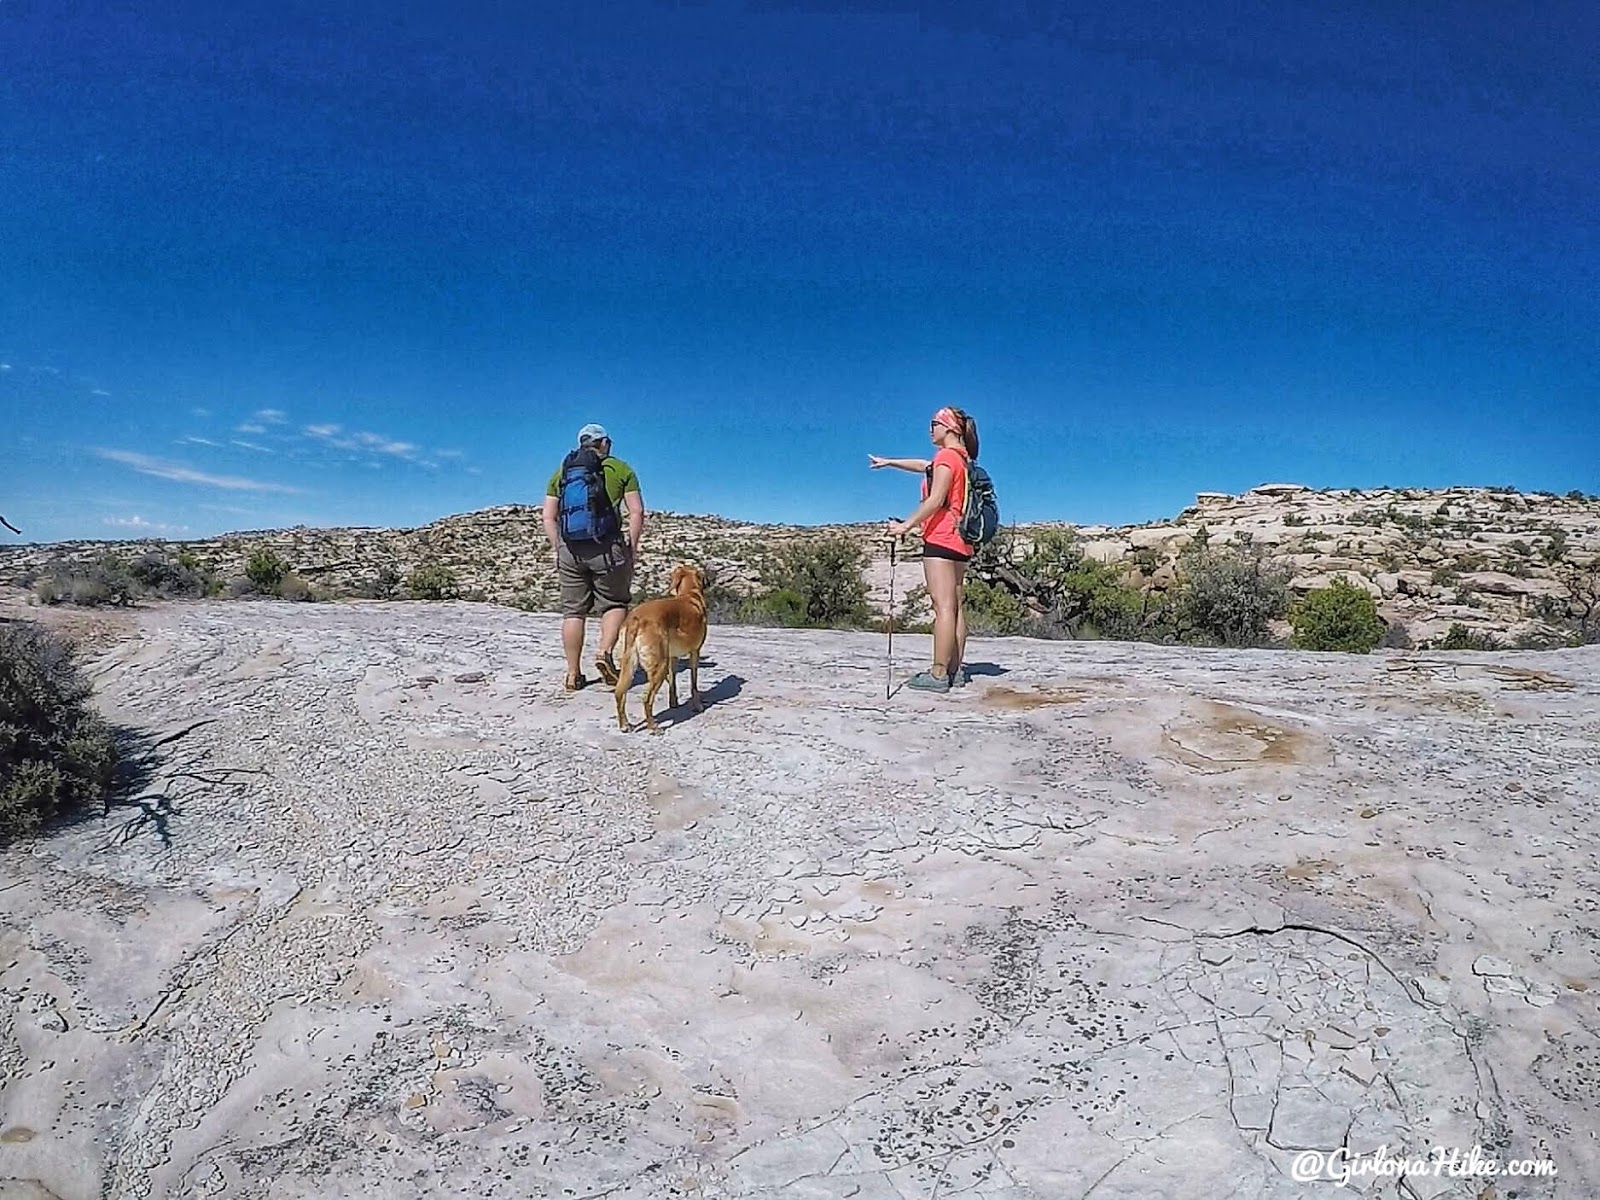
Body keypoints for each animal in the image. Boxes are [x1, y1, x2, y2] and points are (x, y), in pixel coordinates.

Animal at [614, 563, 710, 732]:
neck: (689, 594)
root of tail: (635, 619)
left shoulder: (673, 656)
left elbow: (672, 682)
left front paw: (673, 703)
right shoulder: (695, 652)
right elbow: (694, 684)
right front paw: (697, 705)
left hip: (629, 665)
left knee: (620, 693)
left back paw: (625, 725)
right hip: (660, 665)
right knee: (647, 698)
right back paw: (653, 727)